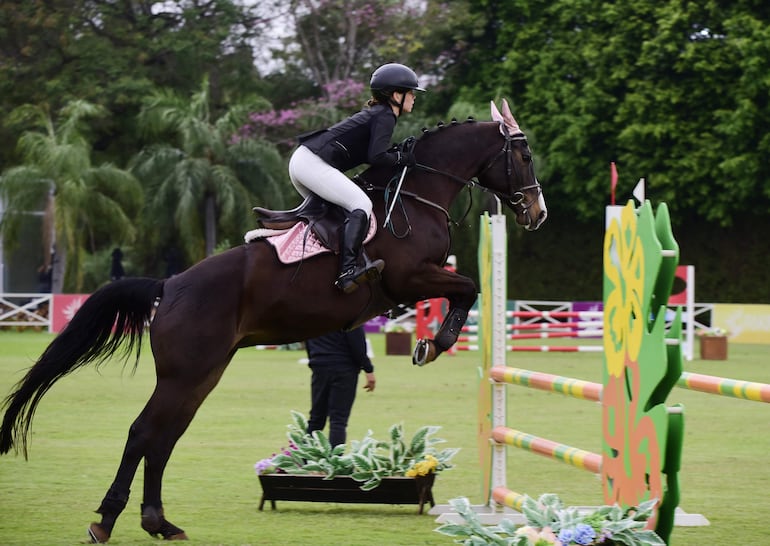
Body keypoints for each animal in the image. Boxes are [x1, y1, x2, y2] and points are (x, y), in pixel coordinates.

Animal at [0, 99, 544, 540]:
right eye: (524, 156)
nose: (537, 214)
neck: (416, 193)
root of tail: (168, 286)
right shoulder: (412, 277)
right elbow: (468, 288)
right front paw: (434, 343)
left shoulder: (419, 280)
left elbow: (466, 289)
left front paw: (431, 342)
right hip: (184, 374)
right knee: (143, 433)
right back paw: (106, 522)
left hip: (202, 374)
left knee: (164, 437)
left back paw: (159, 522)